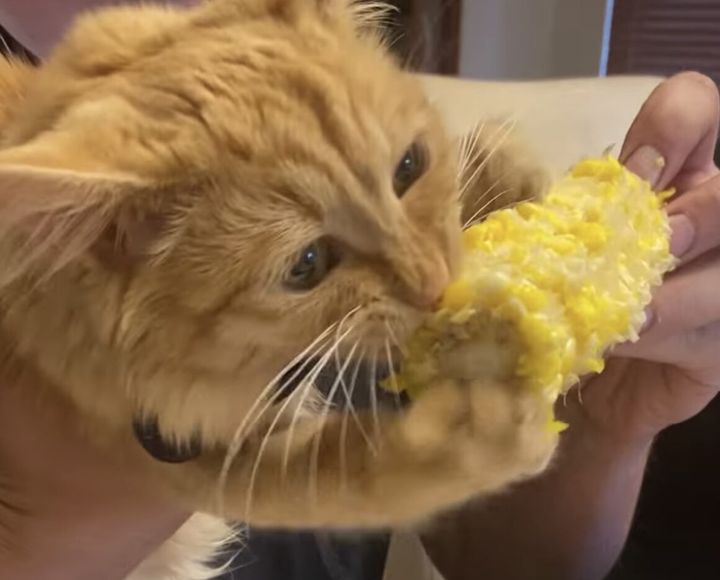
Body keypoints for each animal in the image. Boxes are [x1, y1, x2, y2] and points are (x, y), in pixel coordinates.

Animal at [0, 1, 556, 578]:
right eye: (306, 265)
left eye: (409, 167)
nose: (434, 285)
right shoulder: (165, 450)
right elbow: (339, 476)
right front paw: (478, 432)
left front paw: (504, 174)